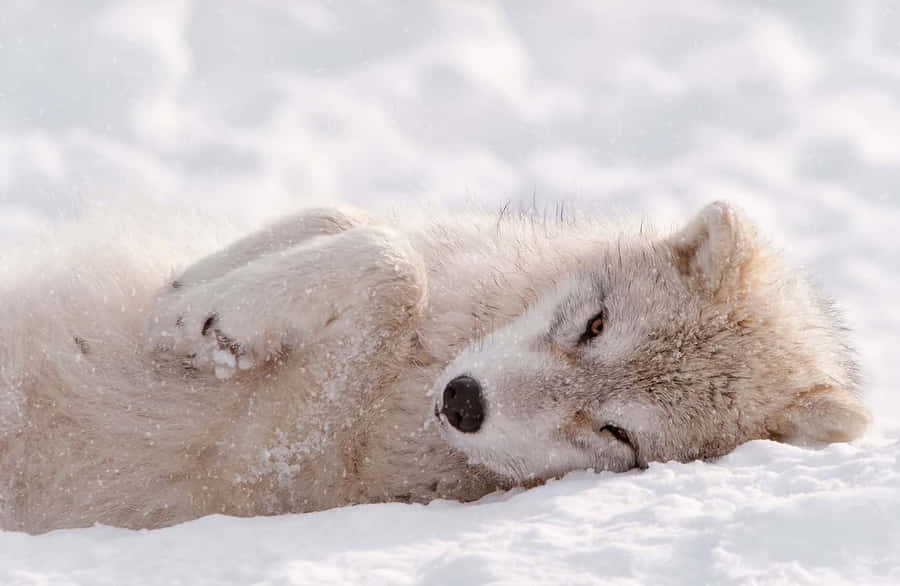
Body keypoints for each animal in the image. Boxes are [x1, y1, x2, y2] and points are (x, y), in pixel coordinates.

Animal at [0, 202, 871, 533]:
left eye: (618, 436)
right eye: (593, 326)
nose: (463, 402)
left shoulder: (263, 467)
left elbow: (391, 269)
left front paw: (206, 322)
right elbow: (355, 224)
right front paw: (190, 299)